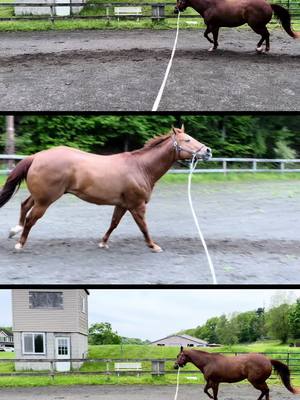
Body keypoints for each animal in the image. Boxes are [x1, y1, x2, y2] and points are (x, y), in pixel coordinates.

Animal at [0, 128, 211, 252]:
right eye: (187, 140)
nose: (208, 151)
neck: (141, 167)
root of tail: (37, 156)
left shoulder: (123, 204)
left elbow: (113, 223)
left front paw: (103, 242)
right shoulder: (137, 206)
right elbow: (143, 227)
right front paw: (153, 246)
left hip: (40, 196)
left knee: (24, 205)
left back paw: (14, 230)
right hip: (46, 200)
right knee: (30, 219)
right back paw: (20, 243)